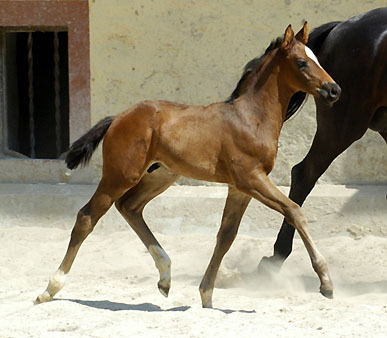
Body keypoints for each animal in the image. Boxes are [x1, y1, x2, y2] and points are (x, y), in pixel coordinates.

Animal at [35, 23, 340, 308]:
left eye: (318, 59)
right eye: (301, 62)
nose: (334, 90)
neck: (250, 117)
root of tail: (118, 117)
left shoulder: (240, 188)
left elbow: (226, 236)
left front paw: (207, 296)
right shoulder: (251, 178)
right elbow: (294, 211)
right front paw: (325, 282)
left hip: (161, 176)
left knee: (130, 207)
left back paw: (165, 278)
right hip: (120, 176)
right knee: (87, 217)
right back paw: (50, 288)